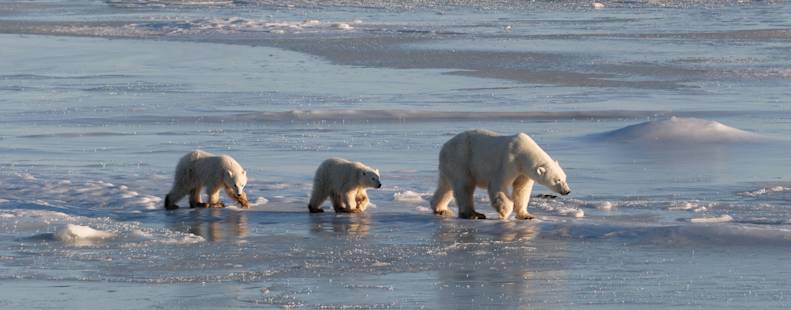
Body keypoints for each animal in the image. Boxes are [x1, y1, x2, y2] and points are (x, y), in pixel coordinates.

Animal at [434, 130, 568, 219]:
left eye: (564, 178)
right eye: (557, 180)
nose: (567, 191)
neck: (523, 153)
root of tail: (443, 147)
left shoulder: (523, 172)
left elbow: (521, 190)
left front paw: (526, 215)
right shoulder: (509, 160)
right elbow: (499, 185)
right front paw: (505, 212)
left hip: (450, 165)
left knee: (446, 187)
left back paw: (440, 209)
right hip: (461, 159)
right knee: (464, 186)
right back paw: (473, 214)